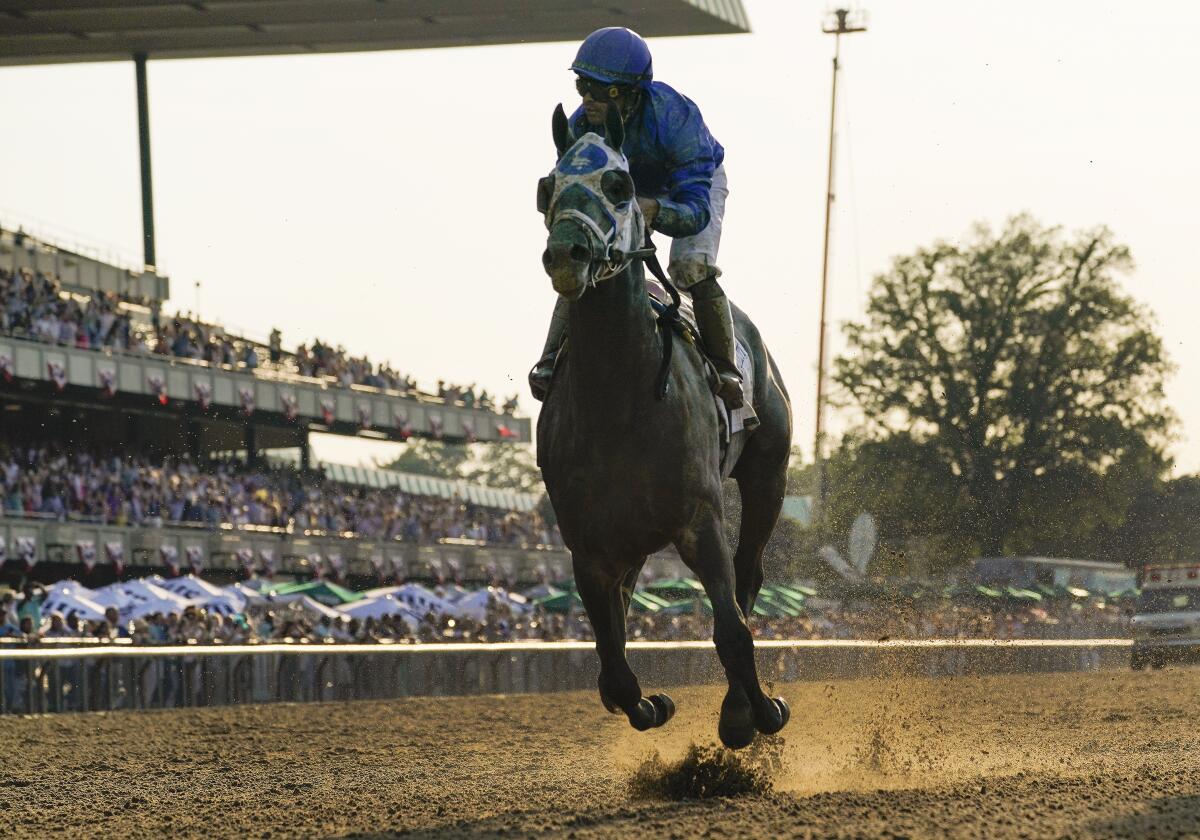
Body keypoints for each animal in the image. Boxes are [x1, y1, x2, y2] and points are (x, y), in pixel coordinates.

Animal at [540, 103, 792, 748]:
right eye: (546, 187)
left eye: (619, 185)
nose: (567, 255)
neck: (620, 398)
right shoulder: (588, 547)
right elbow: (613, 666)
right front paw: (653, 704)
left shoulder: (699, 520)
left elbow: (733, 631)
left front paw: (757, 713)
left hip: (768, 476)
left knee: (748, 577)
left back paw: (740, 708)